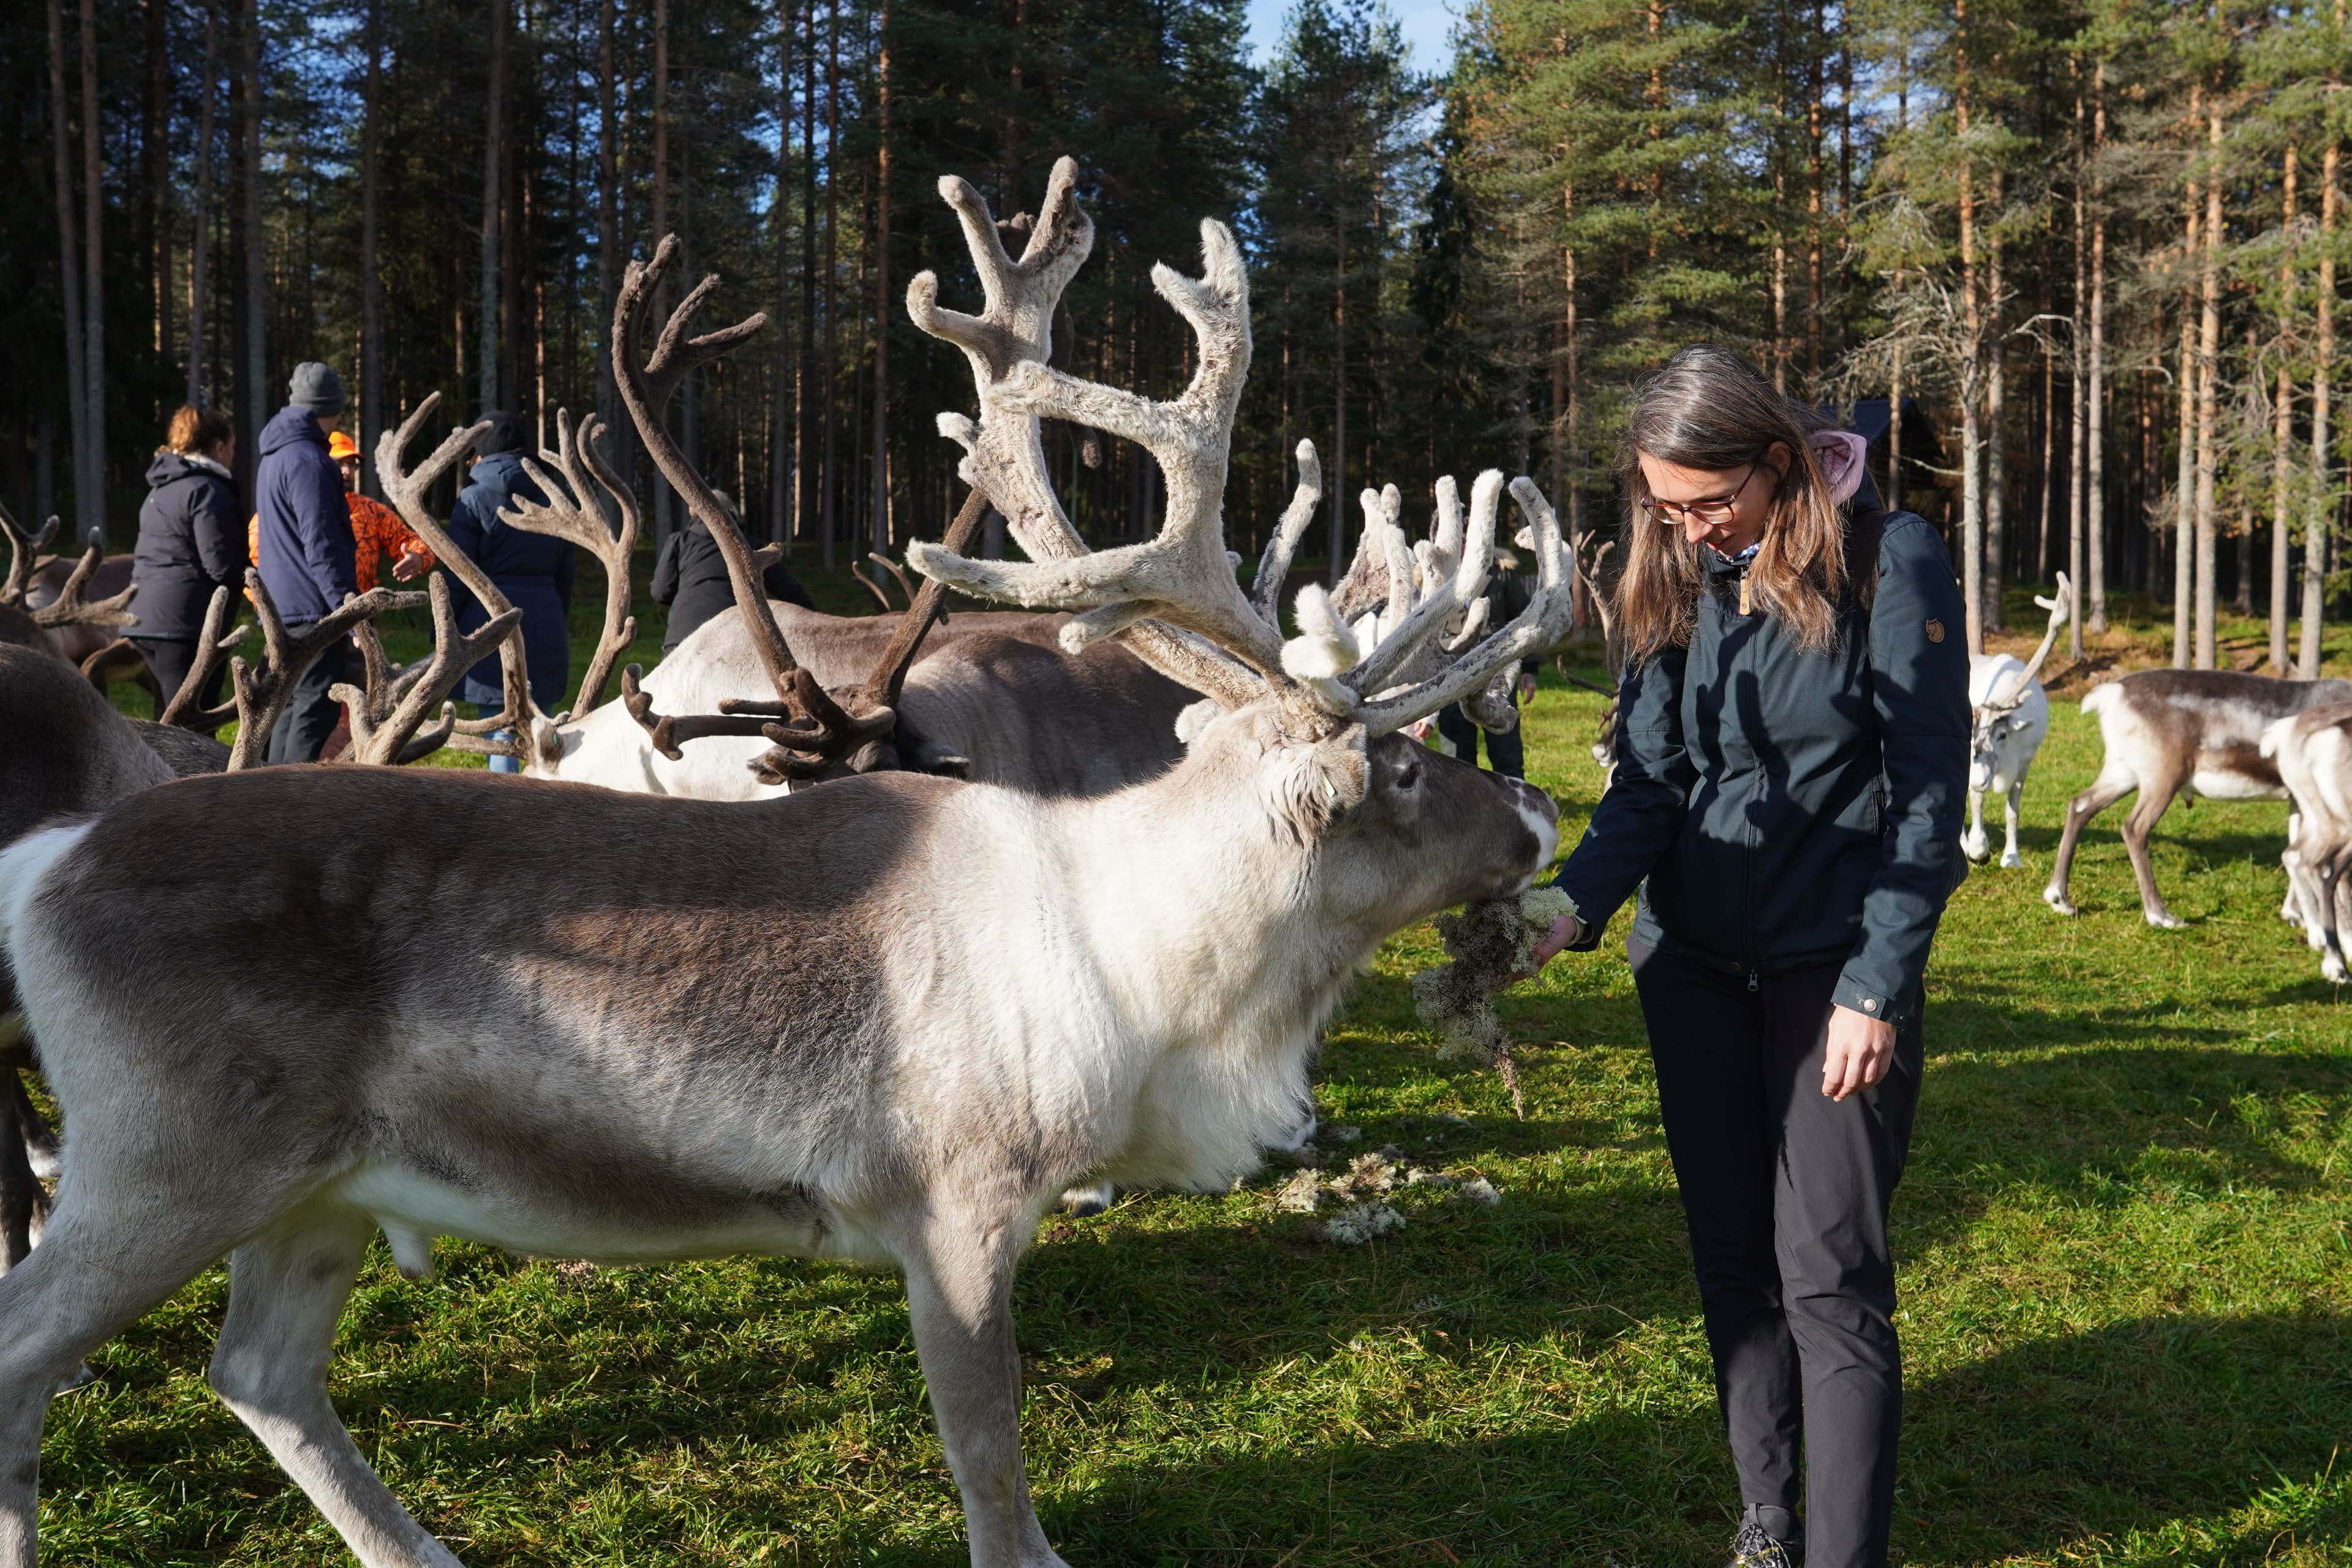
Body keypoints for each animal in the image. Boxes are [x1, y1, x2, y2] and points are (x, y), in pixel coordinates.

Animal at [0, 159, 1570, 1568]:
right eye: (1404, 766)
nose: (1540, 813)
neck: (1154, 965)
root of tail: (48, 860)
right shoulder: (955, 1204)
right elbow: (993, 1476)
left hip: (318, 1189)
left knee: (260, 1373)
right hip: (161, 1163)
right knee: (32, 1351)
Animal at [1962, 573, 2071, 869]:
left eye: (2003, 735)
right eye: (1972, 737)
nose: (1979, 779)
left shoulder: (2026, 762)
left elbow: (2013, 810)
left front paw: (2012, 856)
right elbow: (1976, 801)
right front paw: (1978, 847)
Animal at [2043, 669, 2352, 927]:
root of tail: (2111, 695)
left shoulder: (2297, 799)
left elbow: (2294, 847)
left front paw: (2293, 914)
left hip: (2124, 771)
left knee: (2081, 805)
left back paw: (2060, 898)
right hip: (2164, 775)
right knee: (2135, 827)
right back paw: (2161, 915)